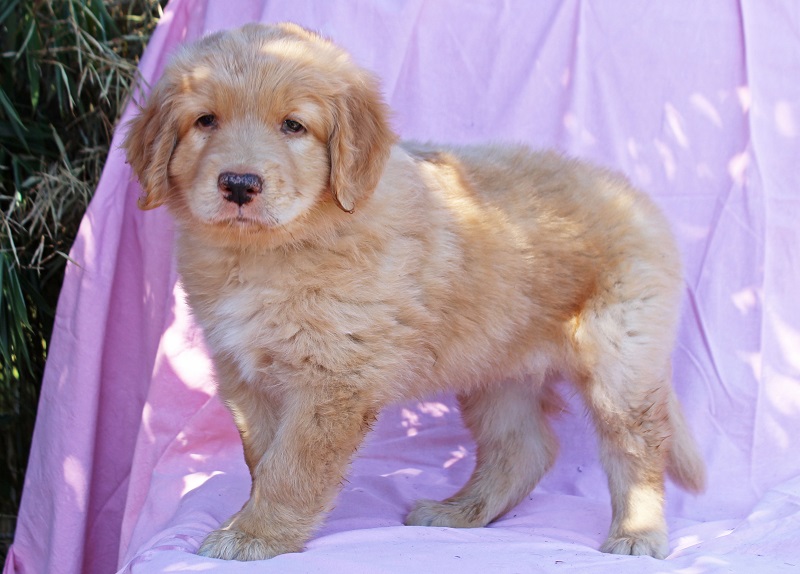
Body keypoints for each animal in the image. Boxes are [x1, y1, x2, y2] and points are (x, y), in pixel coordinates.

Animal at [123, 22, 705, 561]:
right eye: (205, 121)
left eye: (293, 125)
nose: (239, 185)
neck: (270, 253)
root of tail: (637, 200)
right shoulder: (245, 376)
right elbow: (261, 458)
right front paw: (254, 523)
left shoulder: (334, 379)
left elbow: (292, 467)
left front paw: (254, 536)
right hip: (497, 369)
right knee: (526, 449)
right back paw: (460, 512)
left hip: (620, 364)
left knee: (639, 447)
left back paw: (637, 535)